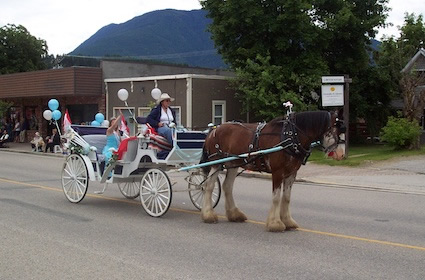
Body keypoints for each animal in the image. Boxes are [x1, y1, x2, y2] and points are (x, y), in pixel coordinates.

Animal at [199, 111, 344, 232]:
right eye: (336, 131)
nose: (341, 154)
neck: (291, 136)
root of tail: (213, 130)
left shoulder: (292, 173)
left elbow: (286, 197)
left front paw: (288, 221)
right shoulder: (277, 172)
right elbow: (276, 197)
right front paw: (275, 223)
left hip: (234, 163)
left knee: (227, 186)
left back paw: (234, 214)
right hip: (216, 163)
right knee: (208, 186)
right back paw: (208, 215)